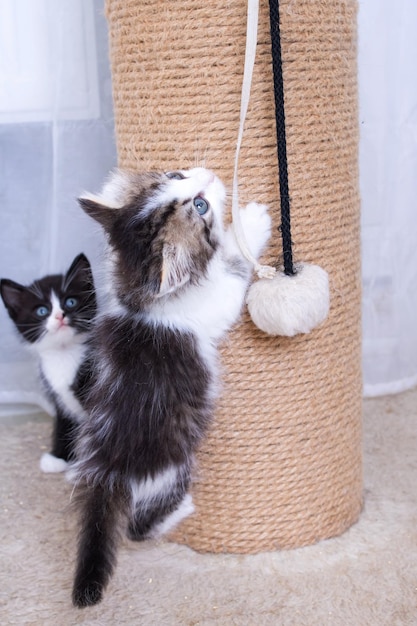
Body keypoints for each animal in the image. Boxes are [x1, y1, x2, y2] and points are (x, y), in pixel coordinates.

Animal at [0, 252, 96, 468]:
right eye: (42, 311)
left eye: (70, 302)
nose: (60, 316)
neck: (63, 354)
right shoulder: (57, 395)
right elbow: (63, 423)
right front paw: (58, 458)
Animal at [70, 167, 272, 604]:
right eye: (200, 206)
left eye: (176, 173)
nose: (207, 174)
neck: (141, 298)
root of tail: (107, 472)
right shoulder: (211, 304)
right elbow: (233, 269)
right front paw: (250, 223)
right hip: (173, 469)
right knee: (137, 528)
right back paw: (181, 512)